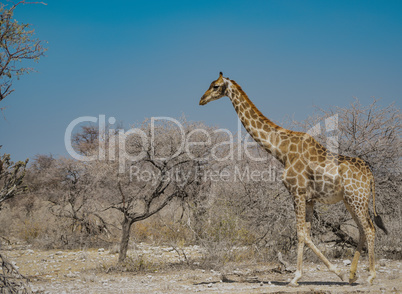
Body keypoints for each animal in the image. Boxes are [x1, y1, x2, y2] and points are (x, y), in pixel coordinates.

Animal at [199, 72, 388, 286]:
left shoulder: (297, 192)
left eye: (215, 86)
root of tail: (370, 175)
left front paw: (295, 277)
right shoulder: (310, 198)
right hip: (351, 201)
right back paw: (351, 275)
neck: (282, 151)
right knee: (362, 229)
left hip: (357, 199)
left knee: (370, 229)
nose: (201, 100)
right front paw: (337, 272)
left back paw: (370, 276)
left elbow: (300, 234)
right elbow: (307, 235)